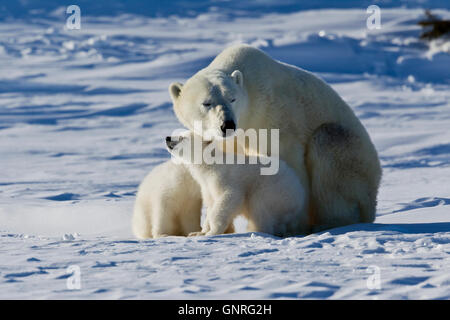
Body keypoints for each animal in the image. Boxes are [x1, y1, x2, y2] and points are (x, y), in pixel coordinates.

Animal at [171, 43, 382, 231]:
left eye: (232, 98)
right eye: (206, 103)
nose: (227, 125)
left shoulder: (274, 117)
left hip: (356, 164)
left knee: (328, 148)